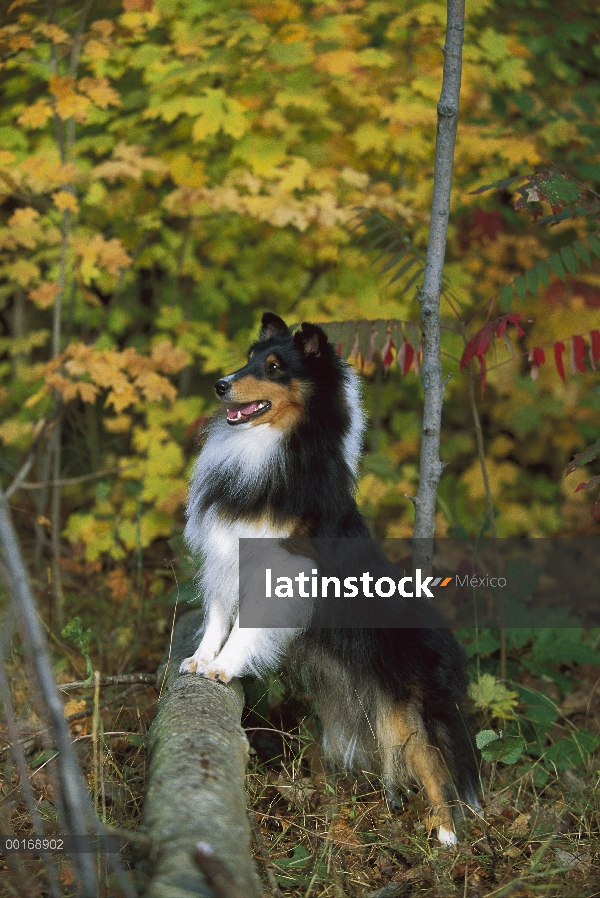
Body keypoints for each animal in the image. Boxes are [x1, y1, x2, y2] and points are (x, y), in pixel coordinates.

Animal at [180, 312, 480, 844]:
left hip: (406, 714)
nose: (220, 385)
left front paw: (225, 667)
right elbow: (218, 619)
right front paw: (201, 660)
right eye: (249, 359)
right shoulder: (225, 558)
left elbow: (246, 630)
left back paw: (446, 838)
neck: (269, 446)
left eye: (275, 367)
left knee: (434, 766)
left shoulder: (282, 570)